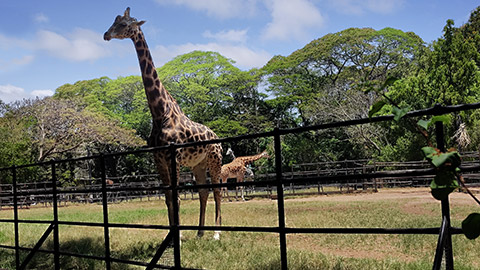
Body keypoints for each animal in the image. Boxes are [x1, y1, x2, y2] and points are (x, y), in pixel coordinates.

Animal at [103, 7, 223, 239]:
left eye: (124, 25)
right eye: (114, 20)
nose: (106, 35)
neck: (160, 113)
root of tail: (218, 139)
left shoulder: (172, 156)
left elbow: (176, 198)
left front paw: (179, 236)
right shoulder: (158, 157)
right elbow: (168, 198)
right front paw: (172, 235)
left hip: (215, 160)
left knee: (217, 190)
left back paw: (216, 233)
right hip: (199, 164)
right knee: (203, 191)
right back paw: (200, 233)